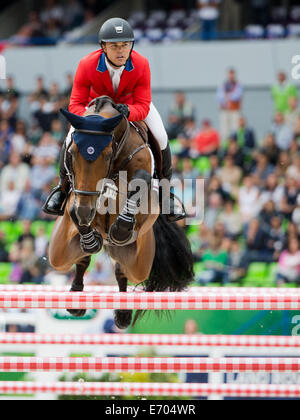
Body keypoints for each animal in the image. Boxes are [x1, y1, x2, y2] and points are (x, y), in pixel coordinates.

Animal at [48, 97, 195, 330]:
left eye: (107, 154)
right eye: (70, 154)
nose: (86, 211)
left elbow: (140, 184)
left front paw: (120, 228)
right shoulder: (78, 195)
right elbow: (74, 210)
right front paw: (89, 234)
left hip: (139, 262)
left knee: (123, 270)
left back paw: (123, 314)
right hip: (59, 251)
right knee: (80, 260)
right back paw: (77, 299)